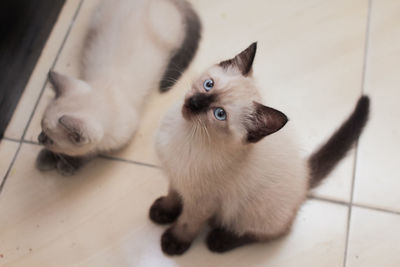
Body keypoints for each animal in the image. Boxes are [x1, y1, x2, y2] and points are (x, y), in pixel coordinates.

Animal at [36, 0, 202, 176]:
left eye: (50, 140)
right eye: (41, 129)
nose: (39, 139)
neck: (106, 90)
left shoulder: (116, 140)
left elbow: (92, 151)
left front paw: (67, 163)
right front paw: (46, 157)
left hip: (170, 36)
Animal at [151, 42, 372, 255]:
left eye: (219, 114)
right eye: (209, 85)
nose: (194, 102)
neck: (186, 133)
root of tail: (305, 177)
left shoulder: (202, 202)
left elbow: (188, 222)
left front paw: (175, 241)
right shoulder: (177, 176)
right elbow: (173, 196)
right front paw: (164, 212)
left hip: (255, 212)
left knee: (274, 232)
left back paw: (220, 240)